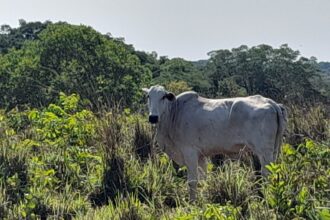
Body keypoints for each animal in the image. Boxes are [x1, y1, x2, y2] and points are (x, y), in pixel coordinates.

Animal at [142, 85, 286, 200]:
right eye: (148, 96)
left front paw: (192, 202)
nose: (153, 117)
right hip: (273, 151)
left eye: (163, 97)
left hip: (264, 152)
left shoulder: (189, 152)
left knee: (266, 174)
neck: (175, 113)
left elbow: (192, 181)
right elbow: (203, 179)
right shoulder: (200, 156)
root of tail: (271, 102)